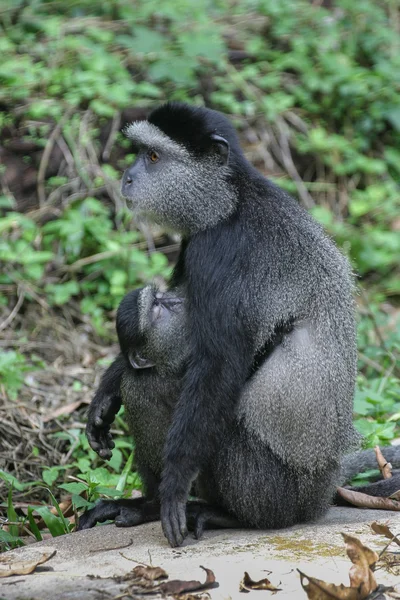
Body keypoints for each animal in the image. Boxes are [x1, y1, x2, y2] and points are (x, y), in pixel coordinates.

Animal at [83, 104, 368, 548]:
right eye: (140, 153)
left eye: (153, 157)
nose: (126, 177)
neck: (232, 199)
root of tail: (320, 495)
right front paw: (106, 392)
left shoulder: (220, 251)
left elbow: (216, 366)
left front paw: (174, 487)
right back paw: (146, 504)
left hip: (270, 491)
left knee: (153, 387)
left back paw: (220, 514)